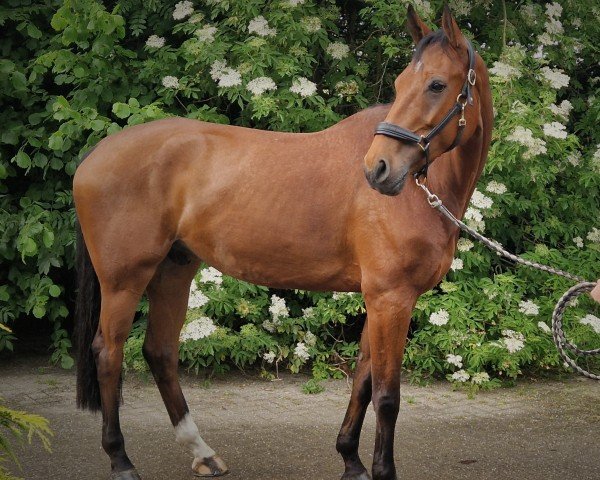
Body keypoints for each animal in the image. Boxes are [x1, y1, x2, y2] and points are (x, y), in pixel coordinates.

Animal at [72, 6, 492, 480]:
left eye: (436, 84)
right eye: (401, 85)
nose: (378, 169)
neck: (425, 190)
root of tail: (96, 154)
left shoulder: (380, 300)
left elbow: (363, 383)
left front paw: (350, 460)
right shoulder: (392, 298)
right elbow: (386, 397)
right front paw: (379, 470)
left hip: (174, 270)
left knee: (159, 352)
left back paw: (202, 453)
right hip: (124, 281)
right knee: (108, 355)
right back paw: (121, 460)